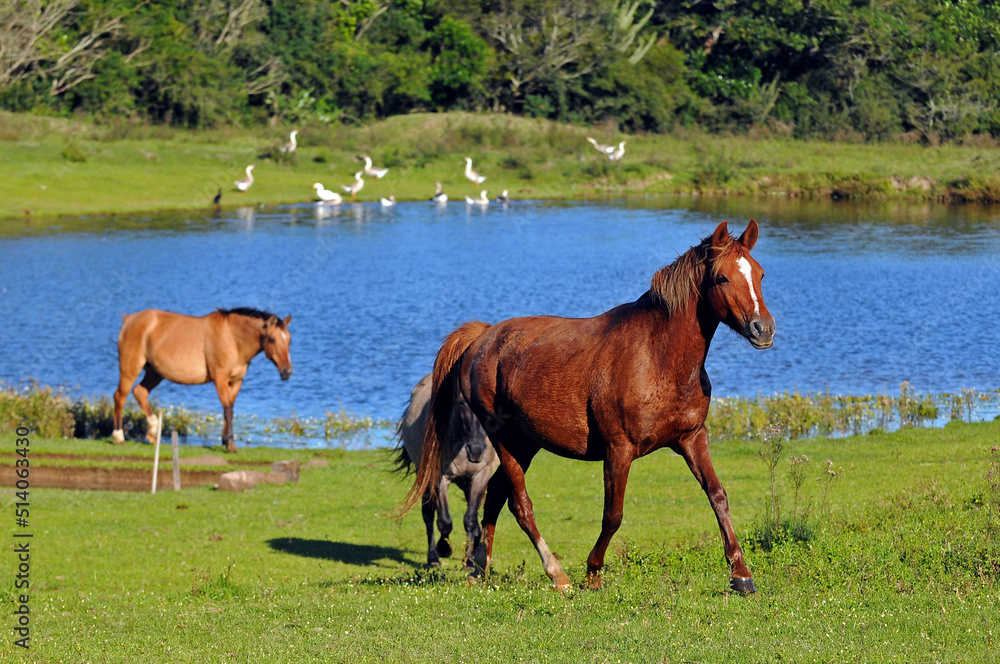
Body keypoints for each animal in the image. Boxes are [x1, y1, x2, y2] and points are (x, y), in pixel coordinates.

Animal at [112, 308, 293, 453]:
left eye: (289, 339)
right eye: (272, 339)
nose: (287, 371)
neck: (232, 338)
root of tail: (129, 319)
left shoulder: (236, 381)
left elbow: (230, 408)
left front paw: (225, 440)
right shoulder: (220, 379)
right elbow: (228, 410)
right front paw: (230, 445)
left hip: (155, 373)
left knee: (140, 392)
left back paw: (153, 432)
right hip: (130, 369)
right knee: (120, 397)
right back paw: (119, 436)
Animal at [396, 369, 499, 567]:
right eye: (461, 403)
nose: (476, 450)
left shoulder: (480, 476)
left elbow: (471, 520)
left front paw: (470, 561)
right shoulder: (439, 477)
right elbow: (444, 521)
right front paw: (444, 548)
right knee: (428, 514)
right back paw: (433, 558)